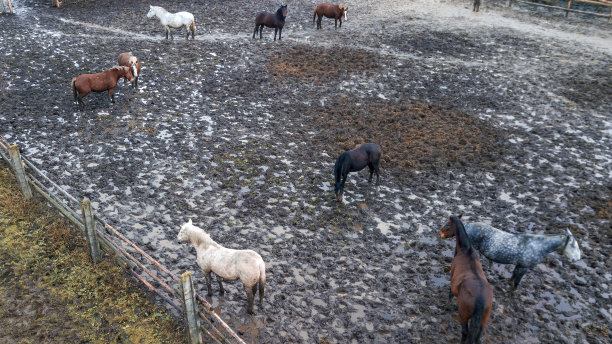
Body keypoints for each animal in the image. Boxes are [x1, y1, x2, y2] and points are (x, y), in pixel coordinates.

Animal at [440, 215, 492, 344]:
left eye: (448, 225)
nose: (441, 233)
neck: (466, 251)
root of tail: (480, 299)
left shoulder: (452, 277)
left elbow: (450, 293)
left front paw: (447, 306)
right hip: (482, 323)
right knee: (477, 338)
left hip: (463, 316)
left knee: (465, 332)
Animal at [442, 216, 580, 288]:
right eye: (573, 245)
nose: (577, 259)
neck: (539, 245)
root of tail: (467, 226)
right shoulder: (524, 267)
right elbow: (517, 282)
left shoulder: (519, 265)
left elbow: (513, 276)